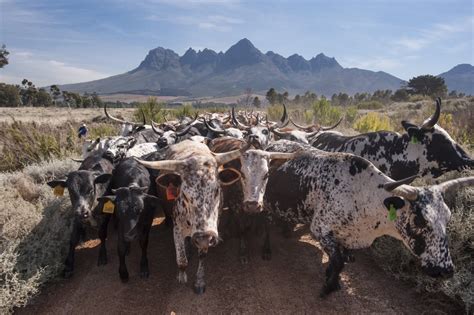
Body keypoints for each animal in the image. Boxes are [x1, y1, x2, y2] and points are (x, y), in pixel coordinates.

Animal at [136, 141, 246, 294]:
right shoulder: (176, 228)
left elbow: (202, 256)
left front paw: (199, 281)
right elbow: (181, 259)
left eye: (217, 190)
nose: (203, 237)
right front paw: (181, 276)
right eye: (185, 194)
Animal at [241, 148, 474, 296]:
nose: (445, 270)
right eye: (420, 219)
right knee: (265, 223)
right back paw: (267, 248)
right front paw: (328, 287)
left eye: (448, 218)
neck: (363, 194)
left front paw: (332, 280)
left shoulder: (346, 237)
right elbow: (338, 261)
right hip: (263, 203)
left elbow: (340, 261)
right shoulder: (321, 230)